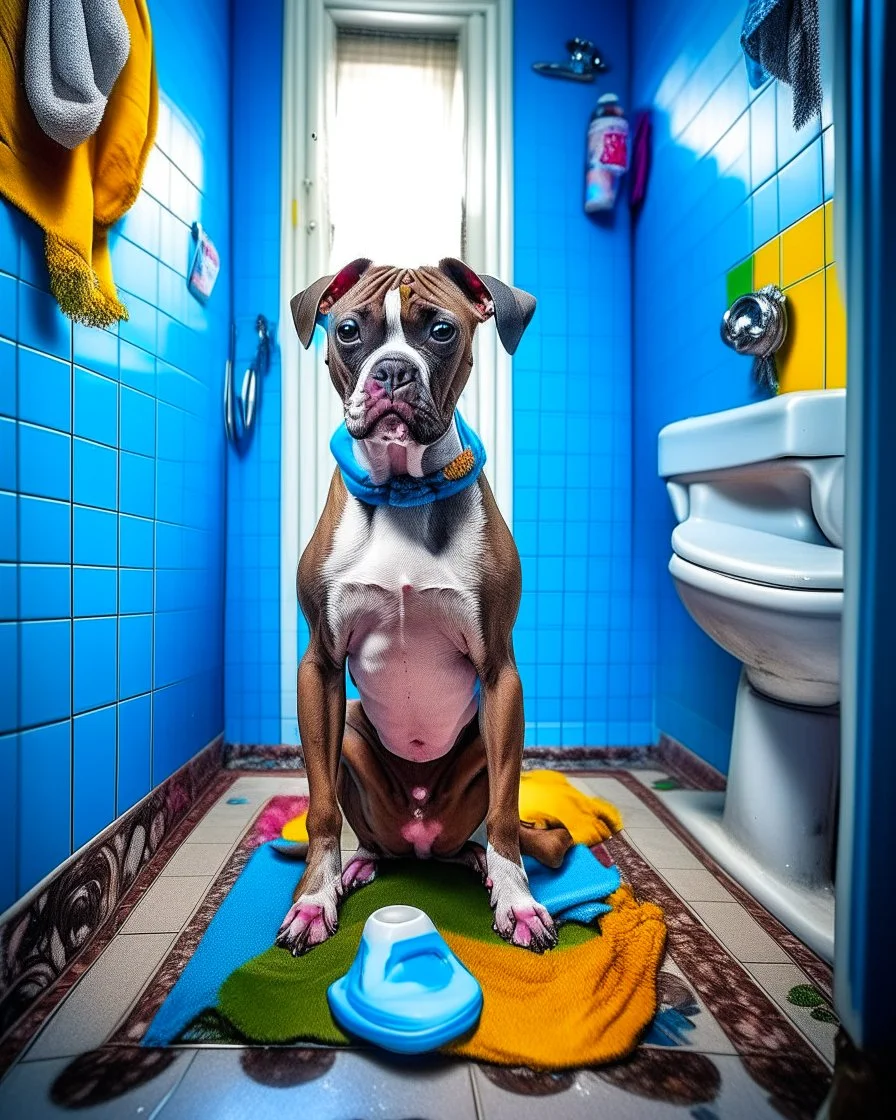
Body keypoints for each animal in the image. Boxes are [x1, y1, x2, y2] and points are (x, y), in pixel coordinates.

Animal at [280, 259, 573, 954]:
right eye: (349, 330)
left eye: (441, 331)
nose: (392, 370)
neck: (404, 496)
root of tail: (420, 839)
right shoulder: (320, 668)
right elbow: (321, 806)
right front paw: (314, 899)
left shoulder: (501, 674)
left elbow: (505, 810)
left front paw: (519, 902)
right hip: (351, 733)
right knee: (372, 836)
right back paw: (360, 865)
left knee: (482, 833)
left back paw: (482, 867)